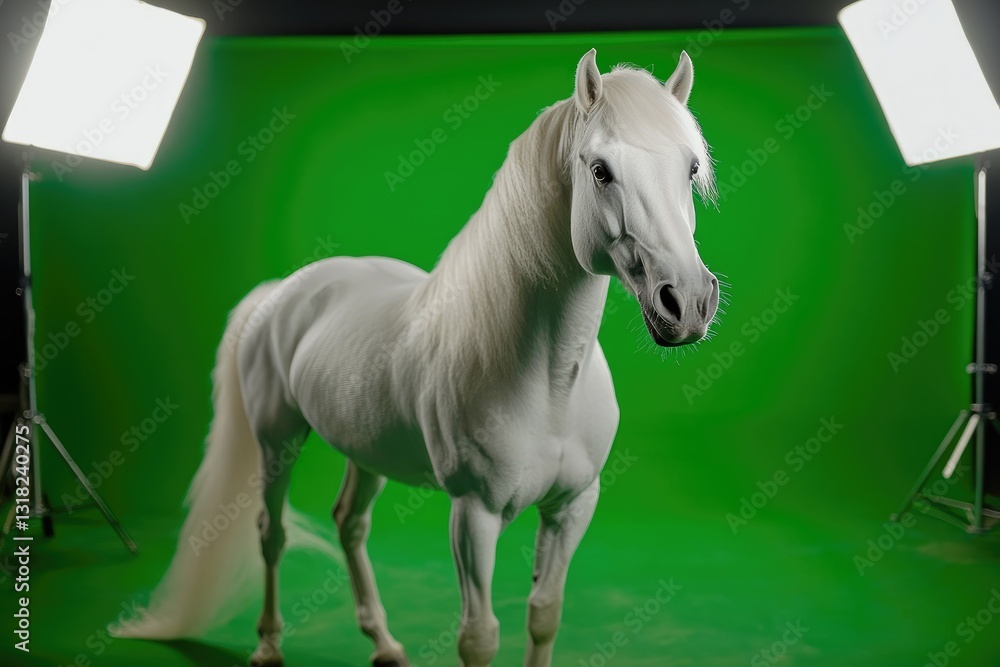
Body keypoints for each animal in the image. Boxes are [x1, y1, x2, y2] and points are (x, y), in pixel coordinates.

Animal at [111, 48, 719, 667]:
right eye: (600, 171)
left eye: (691, 169)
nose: (689, 302)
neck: (550, 385)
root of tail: (282, 292)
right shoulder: (473, 515)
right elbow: (478, 637)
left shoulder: (571, 507)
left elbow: (544, 615)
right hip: (276, 441)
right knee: (270, 531)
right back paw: (268, 645)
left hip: (364, 448)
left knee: (349, 524)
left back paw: (384, 643)